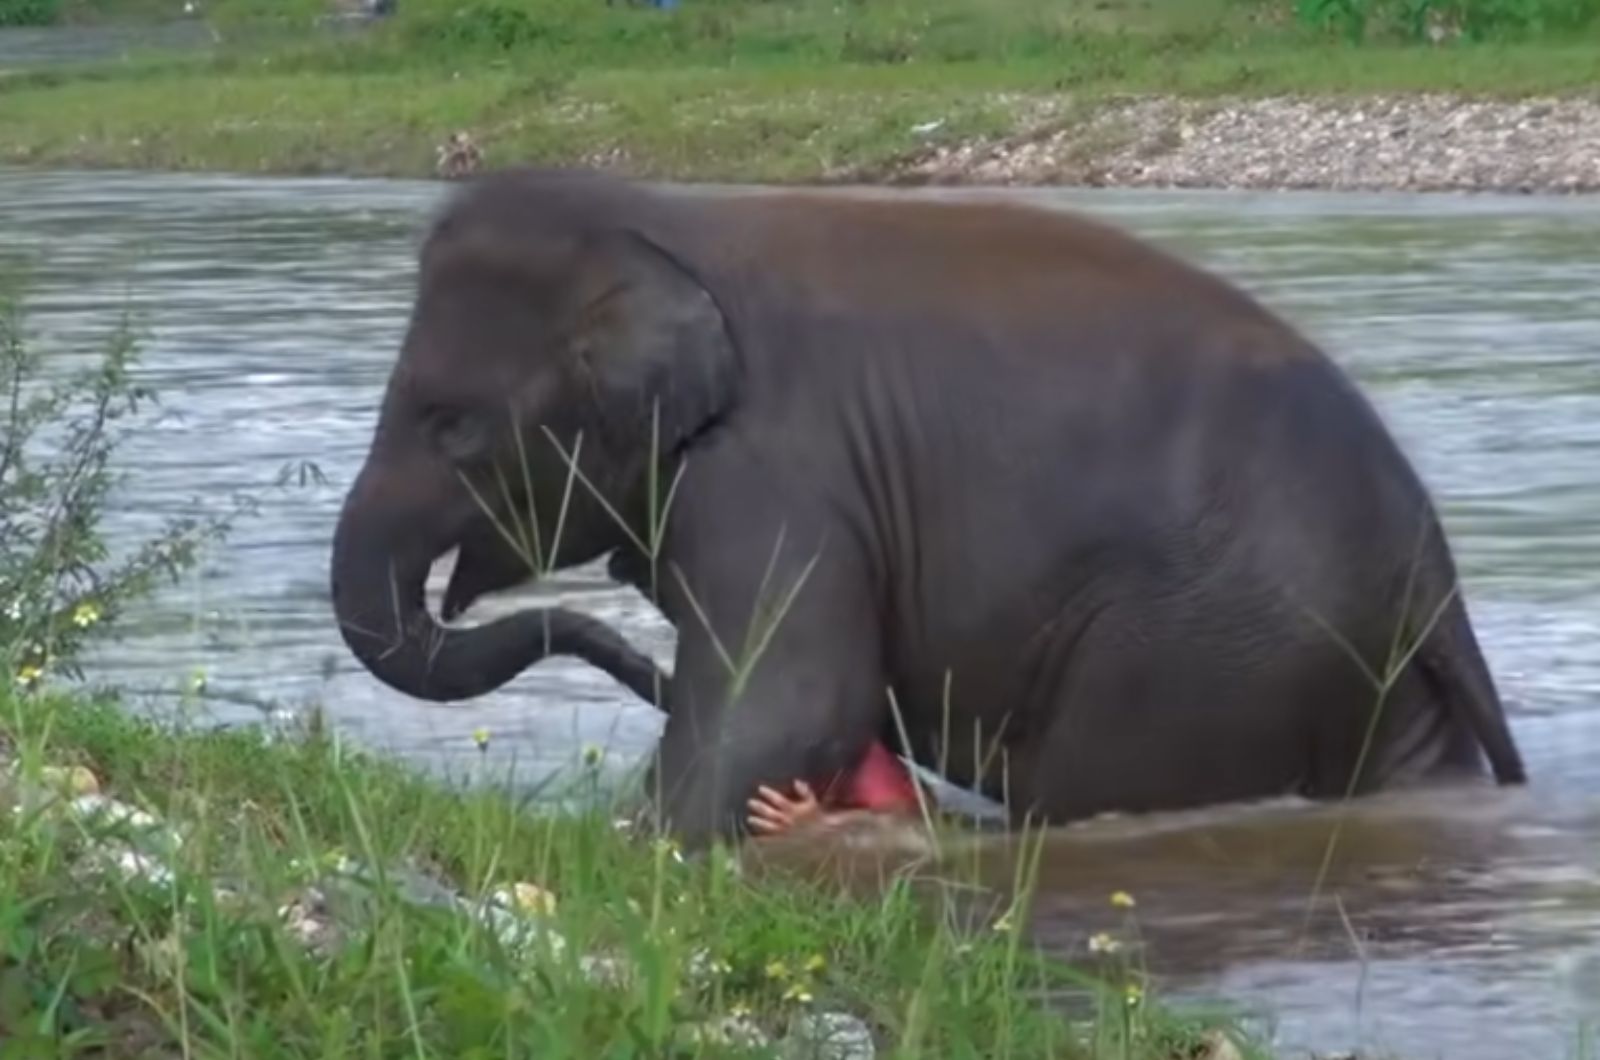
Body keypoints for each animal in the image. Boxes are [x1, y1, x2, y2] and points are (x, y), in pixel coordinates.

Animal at [331, 166, 1529, 851]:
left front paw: (636, 848)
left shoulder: (775, 470)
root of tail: (1429, 558)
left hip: (1202, 643)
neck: (659, 219)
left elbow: (798, 695)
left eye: (451, 424)